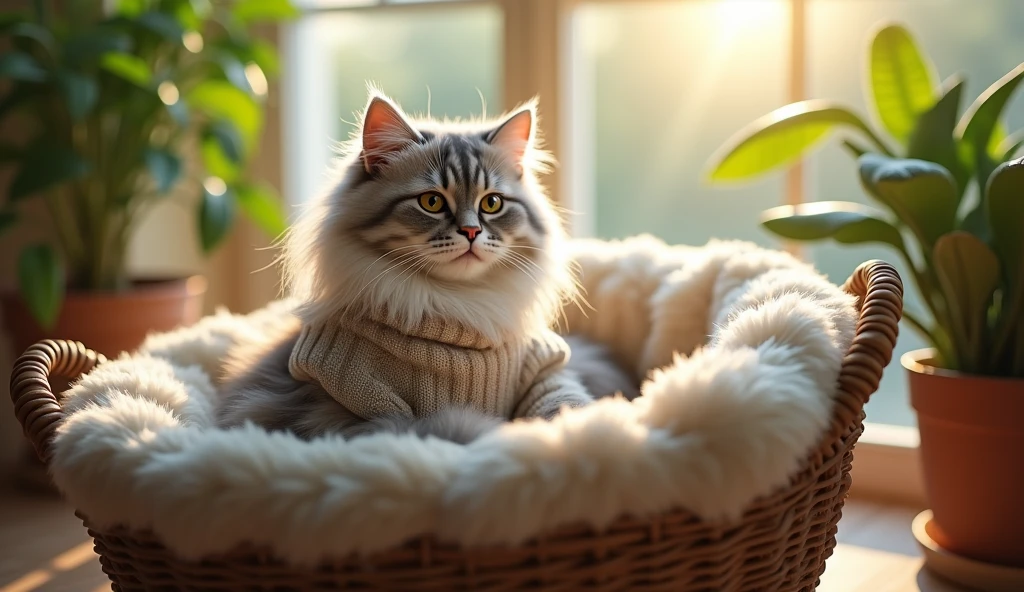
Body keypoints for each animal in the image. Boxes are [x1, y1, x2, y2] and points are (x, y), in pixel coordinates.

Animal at [215, 91, 630, 442]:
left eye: (492, 203)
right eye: (432, 202)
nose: (471, 231)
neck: (456, 306)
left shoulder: (546, 370)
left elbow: (567, 406)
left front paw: (580, 432)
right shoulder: (354, 411)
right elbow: (451, 427)